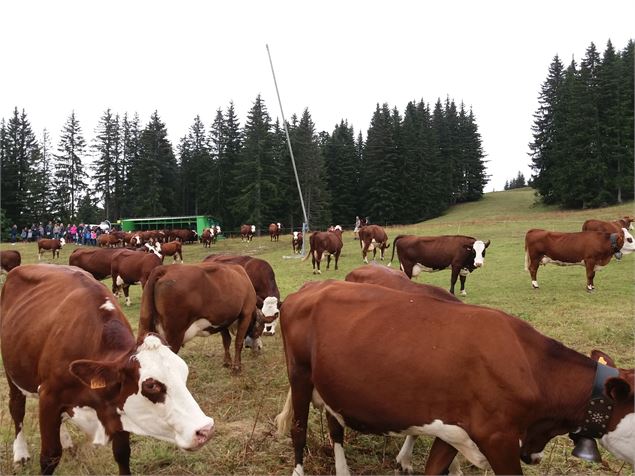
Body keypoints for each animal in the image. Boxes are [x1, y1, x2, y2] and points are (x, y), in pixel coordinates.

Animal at [0, 264, 215, 472]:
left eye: (184, 374)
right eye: (151, 385)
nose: (205, 429)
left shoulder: (116, 405)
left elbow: (122, 453)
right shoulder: (49, 396)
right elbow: (49, 457)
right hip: (12, 373)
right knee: (16, 408)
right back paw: (21, 453)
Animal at [138, 262, 268, 374]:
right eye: (260, 328)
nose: (259, 348)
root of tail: (165, 268)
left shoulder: (223, 320)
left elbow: (226, 341)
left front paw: (227, 362)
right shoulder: (246, 313)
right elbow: (238, 342)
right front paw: (236, 367)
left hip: (146, 327)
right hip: (174, 334)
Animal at [274, 278, 635, 476]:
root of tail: (308, 288)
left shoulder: (454, 429)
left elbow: (436, 467)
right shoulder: (498, 438)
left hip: (330, 385)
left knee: (335, 426)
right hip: (299, 374)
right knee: (298, 429)